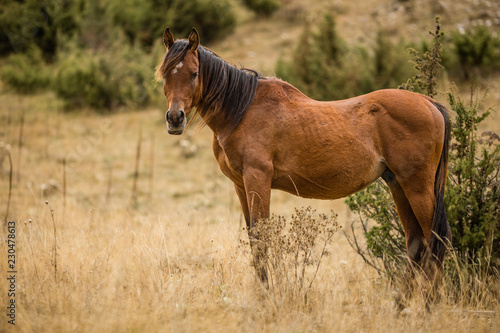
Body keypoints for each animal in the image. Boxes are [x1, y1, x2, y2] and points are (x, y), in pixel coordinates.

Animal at [157, 27, 454, 304]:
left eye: (194, 73)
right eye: (165, 74)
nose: (175, 118)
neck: (241, 110)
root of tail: (430, 103)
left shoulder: (257, 179)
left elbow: (263, 240)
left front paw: (266, 298)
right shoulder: (241, 185)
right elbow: (254, 240)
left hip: (417, 187)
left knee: (437, 241)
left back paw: (429, 307)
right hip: (398, 185)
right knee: (416, 243)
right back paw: (400, 306)